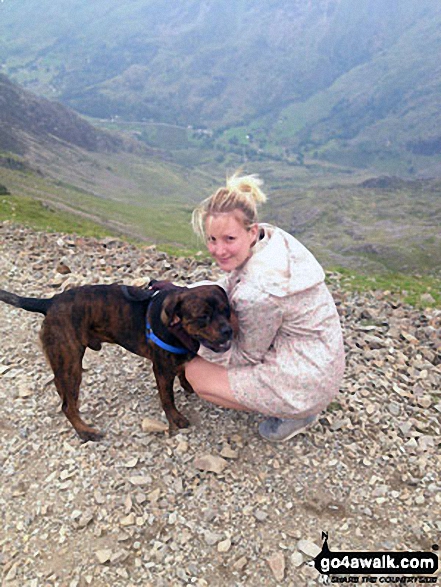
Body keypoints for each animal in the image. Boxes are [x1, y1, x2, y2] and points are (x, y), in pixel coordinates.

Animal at [0, 282, 234, 444]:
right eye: (203, 316)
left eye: (226, 310)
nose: (228, 330)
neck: (175, 326)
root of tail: (50, 302)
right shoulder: (161, 371)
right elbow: (168, 399)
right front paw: (175, 419)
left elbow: (183, 373)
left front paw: (187, 386)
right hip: (71, 365)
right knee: (67, 406)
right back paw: (85, 431)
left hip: (63, 363)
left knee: (64, 394)